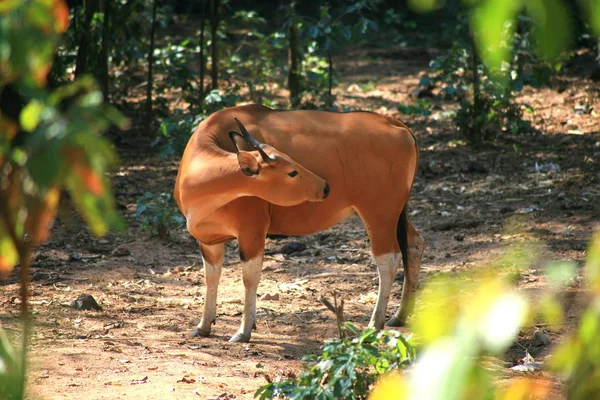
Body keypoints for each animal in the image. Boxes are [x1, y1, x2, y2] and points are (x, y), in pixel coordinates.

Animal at [173, 104, 424, 342]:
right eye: (292, 171)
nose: (325, 186)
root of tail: (395, 123)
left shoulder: (252, 231)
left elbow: (249, 279)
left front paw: (244, 330)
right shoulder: (208, 238)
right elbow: (211, 277)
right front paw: (203, 326)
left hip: (379, 212)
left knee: (388, 260)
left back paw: (374, 324)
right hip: (396, 211)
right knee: (414, 244)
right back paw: (399, 315)